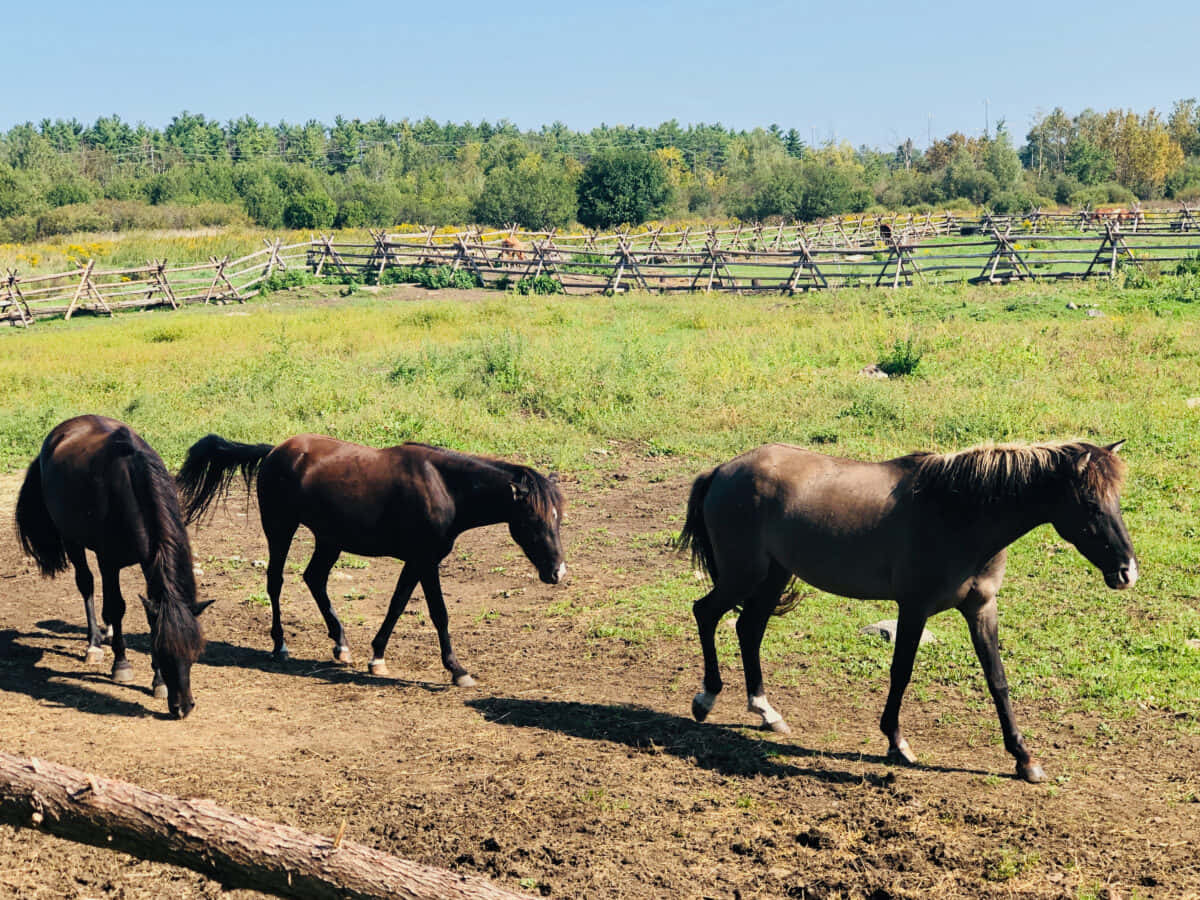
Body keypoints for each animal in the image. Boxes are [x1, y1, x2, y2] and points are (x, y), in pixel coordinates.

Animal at [15, 415, 211, 718]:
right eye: (163, 652)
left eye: (195, 653)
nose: (183, 708)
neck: (131, 484)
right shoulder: (109, 562)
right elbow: (116, 607)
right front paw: (122, 665)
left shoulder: (150, 562)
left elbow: (151, 617)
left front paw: (157, 682)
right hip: (72, 540)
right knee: (86, 584)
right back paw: (95, 643)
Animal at [176, 433, 566, 685]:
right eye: (533, 520)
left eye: (558, 518)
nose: (558, 572)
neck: (444, 487)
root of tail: (274, 452)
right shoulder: (426, 561)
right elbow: (438, 613)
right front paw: (458, 670)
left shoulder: (416, 562)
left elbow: (397, 604)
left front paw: (376, 656)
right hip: (280, 529)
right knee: (276, 581)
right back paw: (280, 645)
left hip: (328, 540)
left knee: (314, 579)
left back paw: (341, 645)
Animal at [677, 440, 1137, 783]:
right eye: (1090, 502)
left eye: (1118, 500)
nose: (1127, 572)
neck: (959, 513)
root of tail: (722, 470)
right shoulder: (914, 607)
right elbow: (901, 673)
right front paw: (896, 743)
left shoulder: (981, 609)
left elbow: (998, 681)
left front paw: (1024, 759)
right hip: (744, 575)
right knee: (706, 613)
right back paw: (706, 699)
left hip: (772, 576)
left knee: (748, 629)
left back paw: (766, 711)